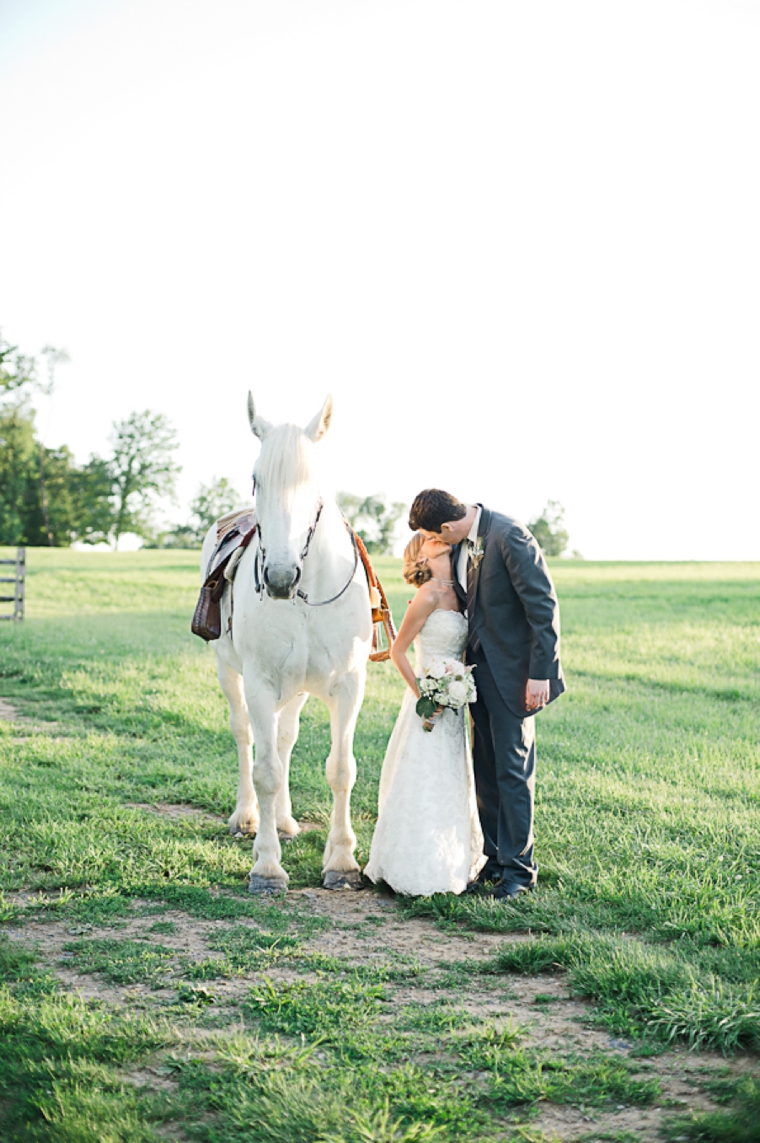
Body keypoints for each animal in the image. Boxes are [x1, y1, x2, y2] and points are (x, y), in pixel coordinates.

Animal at [200, 393, 368, 891]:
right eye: (258, 479)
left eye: (312, 480)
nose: (278, 577)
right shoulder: (260, 683)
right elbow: (267, 771)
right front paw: (267, 867)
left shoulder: (349, 685)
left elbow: (341, 769)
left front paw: (342, 861)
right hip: (230, 674)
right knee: (246, 736)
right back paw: (248, 817)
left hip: (296, 690)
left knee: (285, 738)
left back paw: (286, 820)